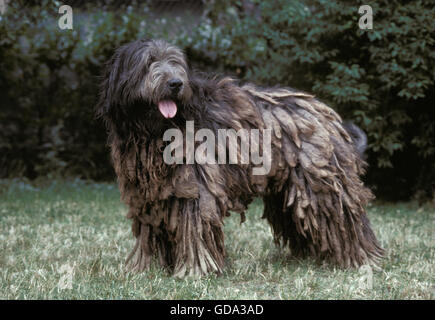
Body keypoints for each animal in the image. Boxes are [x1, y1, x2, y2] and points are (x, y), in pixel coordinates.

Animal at [97, 38, 384, 276]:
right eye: (149, 63)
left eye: (176, 64)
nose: (175, 83)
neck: (155, 131)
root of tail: (324, 112)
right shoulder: (150, 194)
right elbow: (152, 229)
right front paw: (147, 269)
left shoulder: (195, 187)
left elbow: (193, 226)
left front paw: (194, 270)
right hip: (289, 189)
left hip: (321, 182)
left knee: (345, 219)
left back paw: (363, 258)